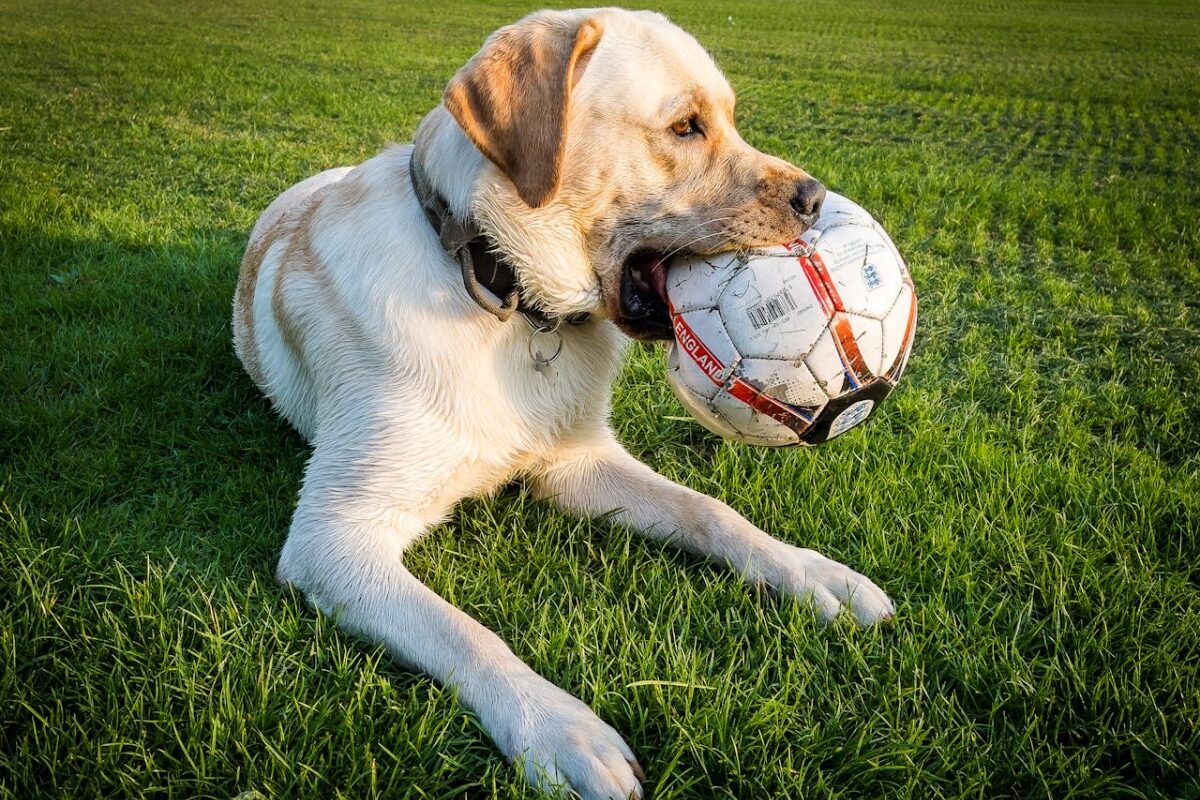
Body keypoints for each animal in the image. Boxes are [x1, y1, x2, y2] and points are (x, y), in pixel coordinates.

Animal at [231, 7, 892, 800]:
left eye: (729, 119)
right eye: (685, 127)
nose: (816, 200)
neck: (500, 294)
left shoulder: (575, 463)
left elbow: (710, 510)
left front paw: (814, 573)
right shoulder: (334, 537)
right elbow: (464, 631)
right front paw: (561, 731)